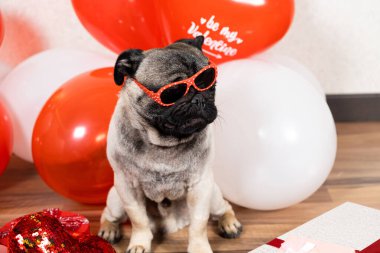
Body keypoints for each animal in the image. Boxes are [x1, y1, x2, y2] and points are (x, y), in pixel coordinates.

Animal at [98, 36, 240, 253]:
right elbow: (138, 220)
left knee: (224, 207)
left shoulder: (200, 186)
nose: (198, 99)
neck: (163, 143)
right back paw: (108, 230)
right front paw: (139, 243)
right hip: (116, 199)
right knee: (108, 214)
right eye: (173, 92)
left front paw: (199, 248)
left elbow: (199, 223)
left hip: (214, 194)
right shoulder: (127, 187)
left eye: (209, 84)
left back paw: (229, 223)